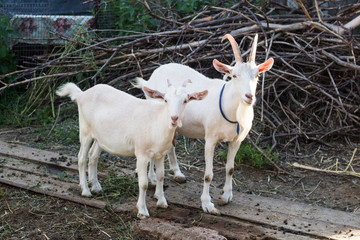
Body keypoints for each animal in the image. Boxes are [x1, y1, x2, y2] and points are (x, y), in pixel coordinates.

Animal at [55, 81, 208, 218]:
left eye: (185, 100)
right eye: (165, 100)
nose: (174, 118)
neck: (158, 122)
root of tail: (82, 94)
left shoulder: (160, 154)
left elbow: (161, 176)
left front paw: (162, 202)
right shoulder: (141, 154)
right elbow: (144, 183)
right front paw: (142, 211)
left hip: (100, 137)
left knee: (93, 156)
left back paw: (96, 187)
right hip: (85, 131)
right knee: (81, 158)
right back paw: (86, 190)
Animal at [136, 33, 274, 214]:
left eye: (257, 75)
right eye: (234, 75)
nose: (249, 96)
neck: (231, 110)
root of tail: (152, 76)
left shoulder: (237, 140)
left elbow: (230, 168)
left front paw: (226, 196)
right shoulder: (210, 139)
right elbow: (208, 174)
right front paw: (207, 204)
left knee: (171, 145)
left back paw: (178, 174)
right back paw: (152, 179)